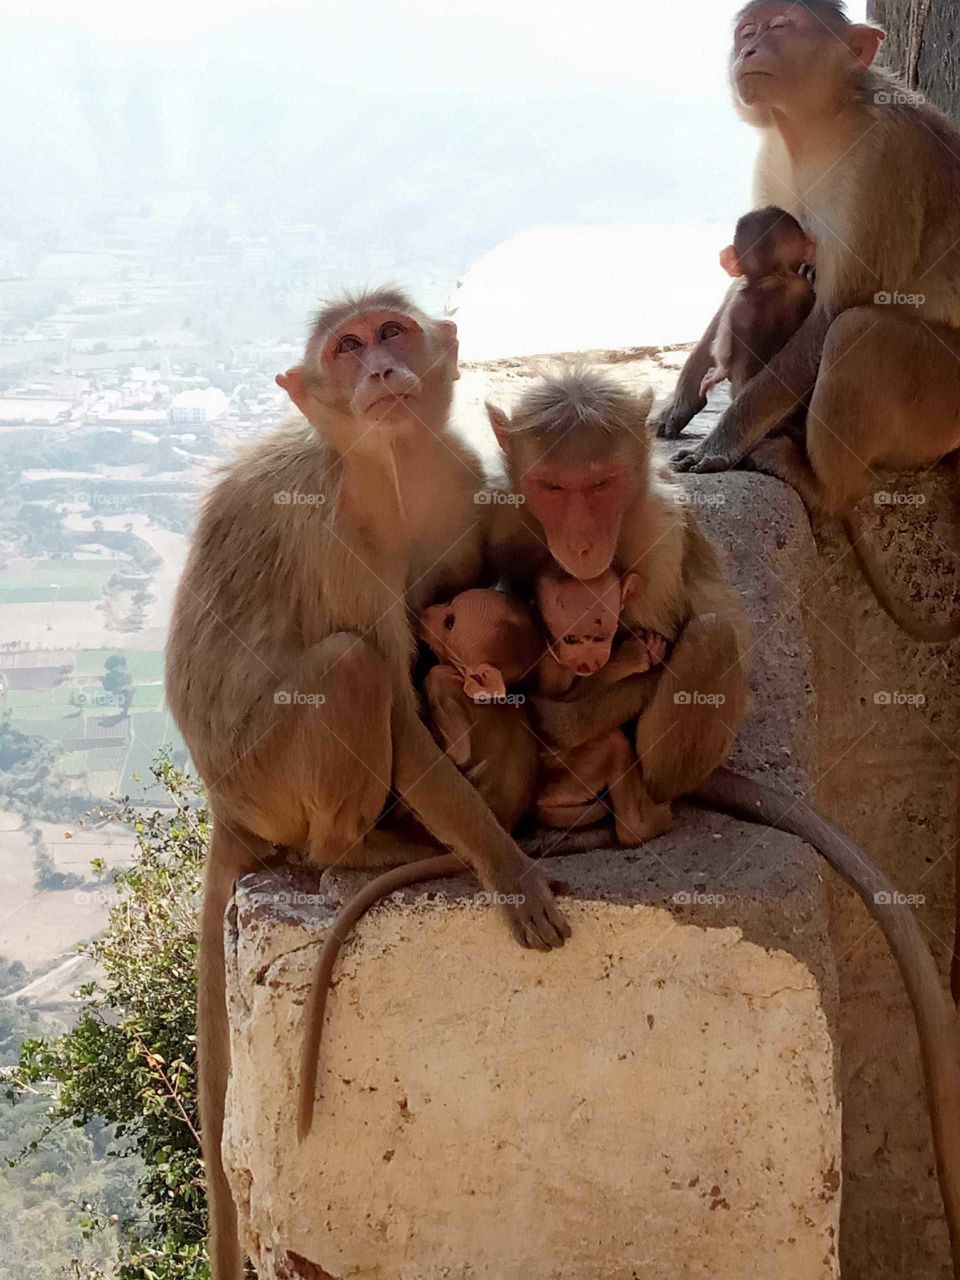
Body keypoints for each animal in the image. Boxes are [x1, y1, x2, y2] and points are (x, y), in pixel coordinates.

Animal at [165, 288, 570, 1280]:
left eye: (392, 332)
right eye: (344, 348)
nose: (381, 368)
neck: (391, 471)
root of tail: (224, 807)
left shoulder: (458, 478)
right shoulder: (332, 536)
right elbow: (390, 694)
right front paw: (506, 865)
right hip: (267, 777)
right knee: (348, 667)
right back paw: (358, 850)